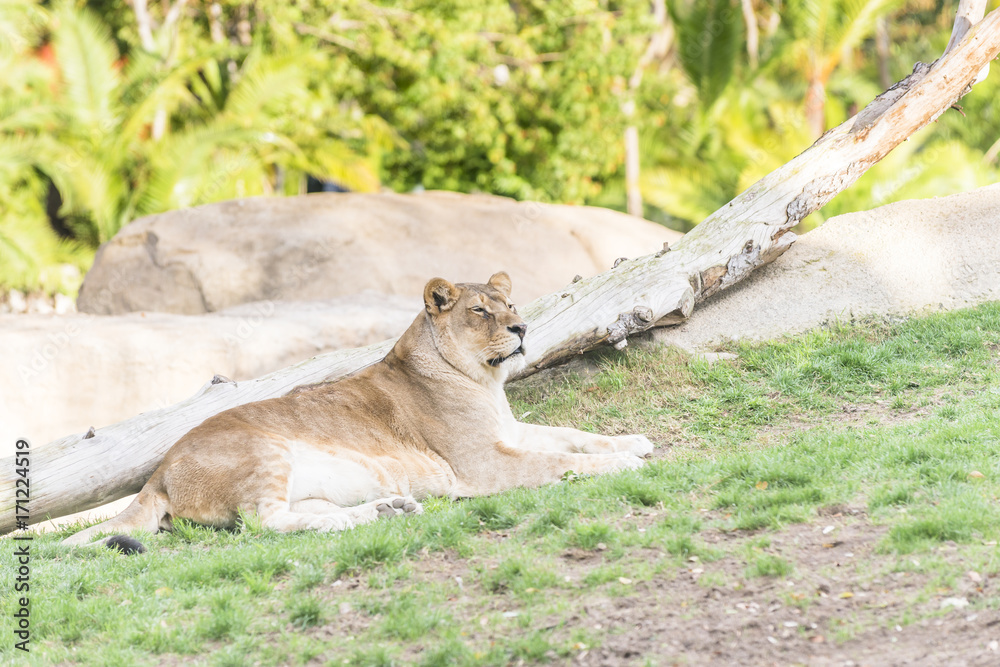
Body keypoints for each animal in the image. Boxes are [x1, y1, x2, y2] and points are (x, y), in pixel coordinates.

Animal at [63, 272, 653, 553]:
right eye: (480, 311)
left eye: (509, 305)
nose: (523, 327)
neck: (486, 383)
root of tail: (158, 472)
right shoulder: (482, 464)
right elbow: (558, 462)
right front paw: (624, 464)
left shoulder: (509, 432)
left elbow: (572, 434)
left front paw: (635, 442)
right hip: (263, 452)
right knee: (266, 524)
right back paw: (374, 514)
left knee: (306, 516)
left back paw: (388, 510)